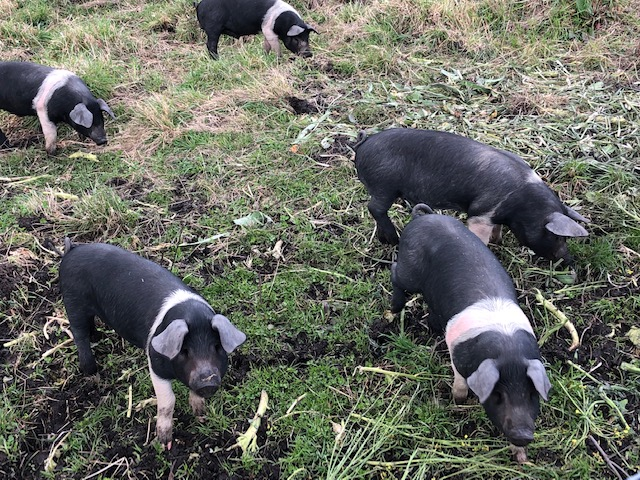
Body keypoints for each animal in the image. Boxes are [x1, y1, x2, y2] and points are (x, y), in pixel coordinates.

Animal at [59, 239, 246, 449]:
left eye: (217, 347)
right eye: (184, 351)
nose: (208, 381)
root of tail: (72, 250)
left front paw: (200, 415)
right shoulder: (155, 364)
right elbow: (168, 401)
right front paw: (164, 443)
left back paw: (96, 337)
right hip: (73, 302)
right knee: (79, 334)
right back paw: (92, 372)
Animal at [354, 128, 589, 266]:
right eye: (557, 236)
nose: (568, 260)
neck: (522, 203)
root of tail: (364, 144)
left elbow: (497, 228)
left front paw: (498, 240)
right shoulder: (480, 214)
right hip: (384, 185)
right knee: (375, 208)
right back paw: (393, 239)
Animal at [390, 204, 552, 454]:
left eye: (532, 394)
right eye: (498, 394)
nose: (523, 435)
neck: (508, 348)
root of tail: (421, 217)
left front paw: (521, 456)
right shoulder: (456, 352)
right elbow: (459, 381)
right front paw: (458, 401)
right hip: (409, 269)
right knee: (395, 271)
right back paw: (394, 309)